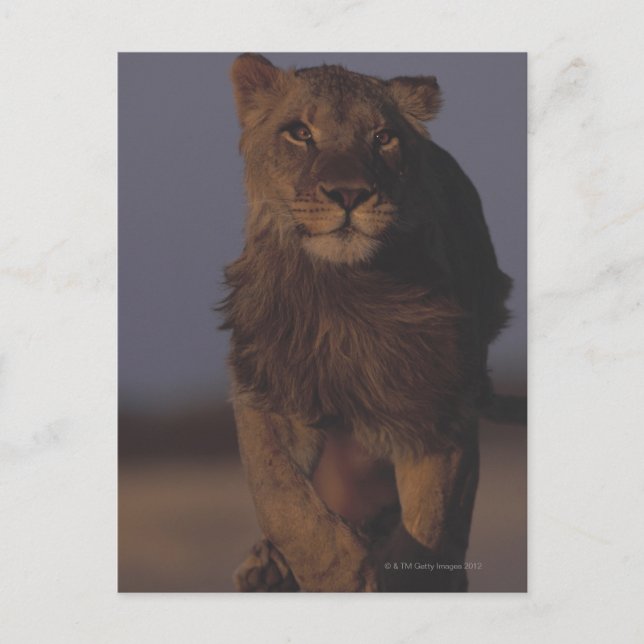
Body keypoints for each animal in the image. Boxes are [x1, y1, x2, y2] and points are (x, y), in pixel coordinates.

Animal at [220, 54, 515, 592]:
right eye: (300, 133)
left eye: (382, 137)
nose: (349, 193)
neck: (344, 291)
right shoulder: (267, 383)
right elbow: (280, 495)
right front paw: (339, 573)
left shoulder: (439, 404)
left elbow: (433, 520)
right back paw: (267, 568)